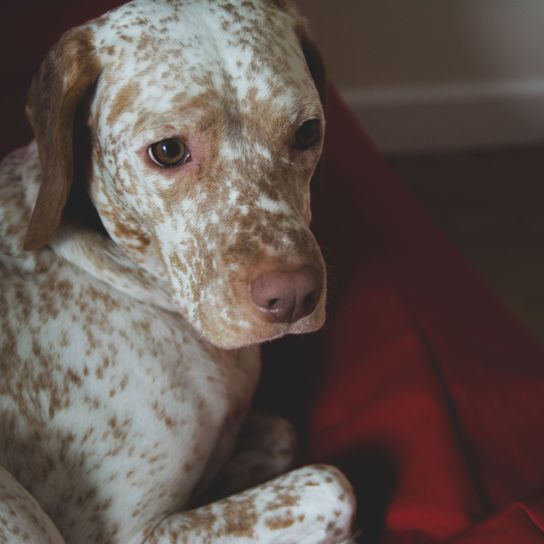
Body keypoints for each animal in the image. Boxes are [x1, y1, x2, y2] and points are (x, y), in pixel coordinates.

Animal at [0, 0, 356, 540]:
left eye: (307, 132)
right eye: (167, 151)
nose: (295, 296)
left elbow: (280, 433)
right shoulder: (128, 531)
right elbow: (334, 486)